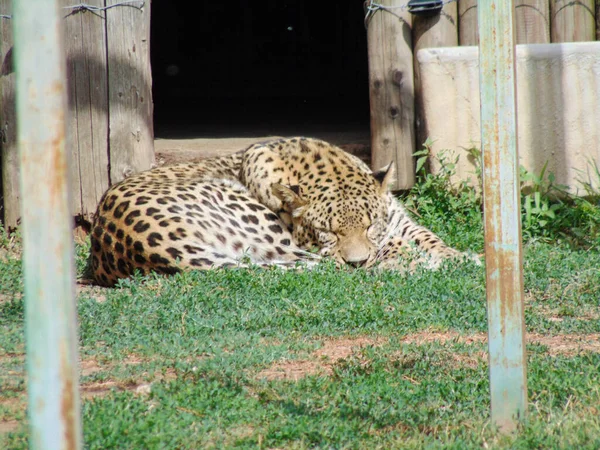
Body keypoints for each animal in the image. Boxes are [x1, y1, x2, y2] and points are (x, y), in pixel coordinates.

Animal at [89, 136, 476, 288]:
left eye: (370, 225)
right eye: (328, 232)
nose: (356, 262)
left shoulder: (399, 220)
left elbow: (429, 237)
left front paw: (458, 256)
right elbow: (388, 249)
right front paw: (406, 257)